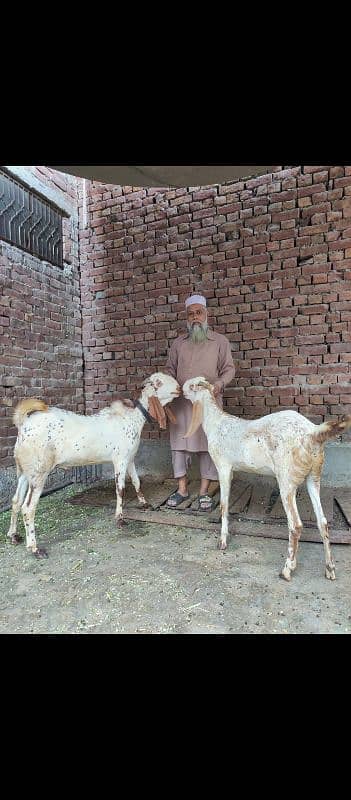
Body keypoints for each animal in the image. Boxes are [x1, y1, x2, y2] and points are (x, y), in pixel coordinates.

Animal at [8, 374, 182, 556]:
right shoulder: (120, 459)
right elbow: (120, 489)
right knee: (28, 507)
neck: (133, 417)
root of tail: (24, 424)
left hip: (24, 471)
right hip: (39, 471)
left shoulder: (130, 458)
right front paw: (120, 519)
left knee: (16, 500)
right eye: (158, 382)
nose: (179, 388)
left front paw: (144, 503)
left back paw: (13, 536)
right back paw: (34, 548)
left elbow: (136, 481)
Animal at [183, 376, 350, 580]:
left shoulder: (223, 467)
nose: (181, 390)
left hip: (286, 479)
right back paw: (330, 568)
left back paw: (287, 569)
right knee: (323, 523)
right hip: (314, 475)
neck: (216, 423)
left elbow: (223, 505)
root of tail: (312, 432)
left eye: (191, 385)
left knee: (296, 525)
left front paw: (222, 542)